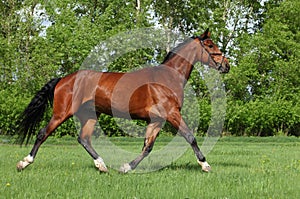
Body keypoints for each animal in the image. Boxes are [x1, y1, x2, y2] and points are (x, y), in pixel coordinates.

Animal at [16, 28, 230, 173]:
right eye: (210, 45)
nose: (226, 65)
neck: (168, 77)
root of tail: (63, 79)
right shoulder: (172, 114)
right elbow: (190, 137)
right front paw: (205, 164)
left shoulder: (156, 120)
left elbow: (147, 147)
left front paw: (126, 166)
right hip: (62, 113)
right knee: (43, 133)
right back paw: (24, 162)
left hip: (89, 115)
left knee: (83, 139)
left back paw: (102, 165)